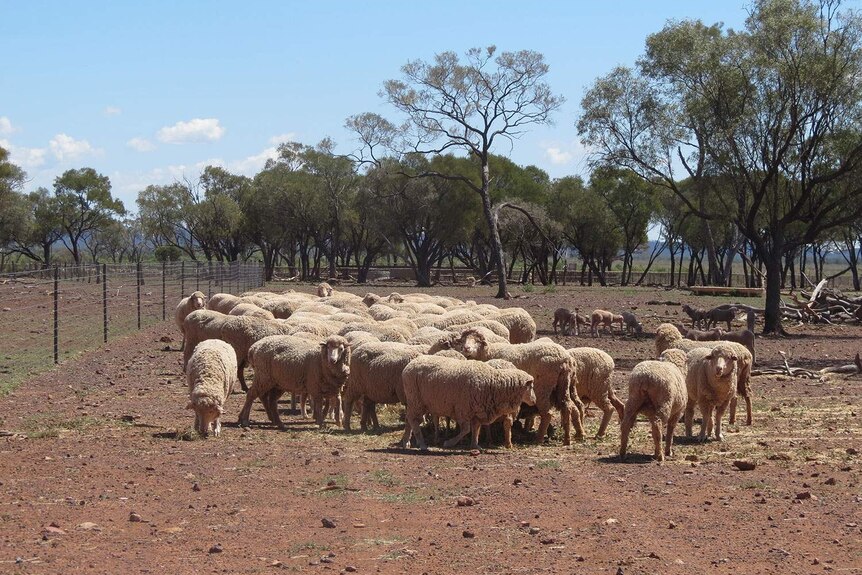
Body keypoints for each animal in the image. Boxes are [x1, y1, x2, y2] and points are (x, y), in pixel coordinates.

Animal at [402, 356, 536, 450]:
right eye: (531, 387)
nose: (534, 400)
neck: (493, 384)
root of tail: (408, 366)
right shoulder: (463, 410)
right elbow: (466, 429)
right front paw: (449, 443)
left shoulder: (478, 410)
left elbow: (476, 428)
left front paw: (475, 445)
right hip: (416, 400)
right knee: (413, 420)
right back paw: (422, 444)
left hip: (415, 401)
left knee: (409, 419)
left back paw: (406, 441)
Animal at [448, 328, 584, 446]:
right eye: (464, 340)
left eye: (477, 341)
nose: (466, 348)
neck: (487, 352)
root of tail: (566, 359)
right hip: (563, 386)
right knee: (570, 407)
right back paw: (572, 437)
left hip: (543, 389)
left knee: (548, 413)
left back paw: (539, 439)